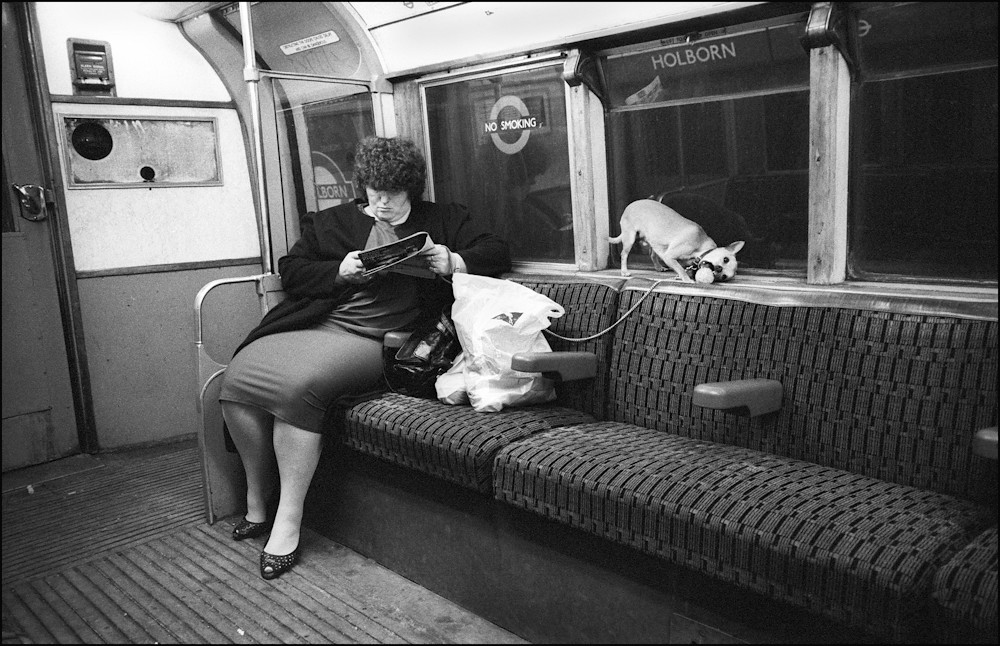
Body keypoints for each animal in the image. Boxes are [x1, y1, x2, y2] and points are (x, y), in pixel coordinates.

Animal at [608, 200, 744, 284]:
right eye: (725, 259)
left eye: (723, 277)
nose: (719, 269)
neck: (701, 246)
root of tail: (630, 205)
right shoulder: (669, 256)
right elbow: (680, 268)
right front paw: (686, 279)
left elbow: (680, 267)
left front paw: (681, 276)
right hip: (630, 238)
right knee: (624, 254)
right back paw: (624, 271)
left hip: (654, 242)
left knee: (652, 254)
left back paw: (658, 267)